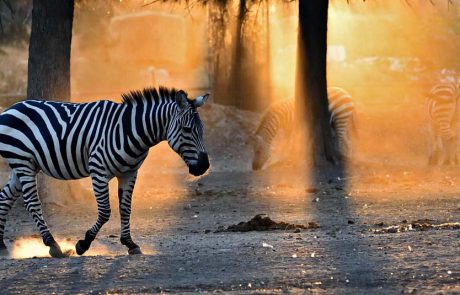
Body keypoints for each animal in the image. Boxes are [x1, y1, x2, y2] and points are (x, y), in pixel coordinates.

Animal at [0, 86, 210, 258]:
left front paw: (130, 244)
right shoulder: (98, 171)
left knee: (5, 198)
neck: (129, 130)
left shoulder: (129, 173)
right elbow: (105, 212)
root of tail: (11, 108)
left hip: (23, 165)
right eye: (187, 129)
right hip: (23, 162)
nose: (204, 166)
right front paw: (83, 244)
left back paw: (2, 245)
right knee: (32, 203)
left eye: (202, 129)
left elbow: (125, 209)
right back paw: (53, 245)